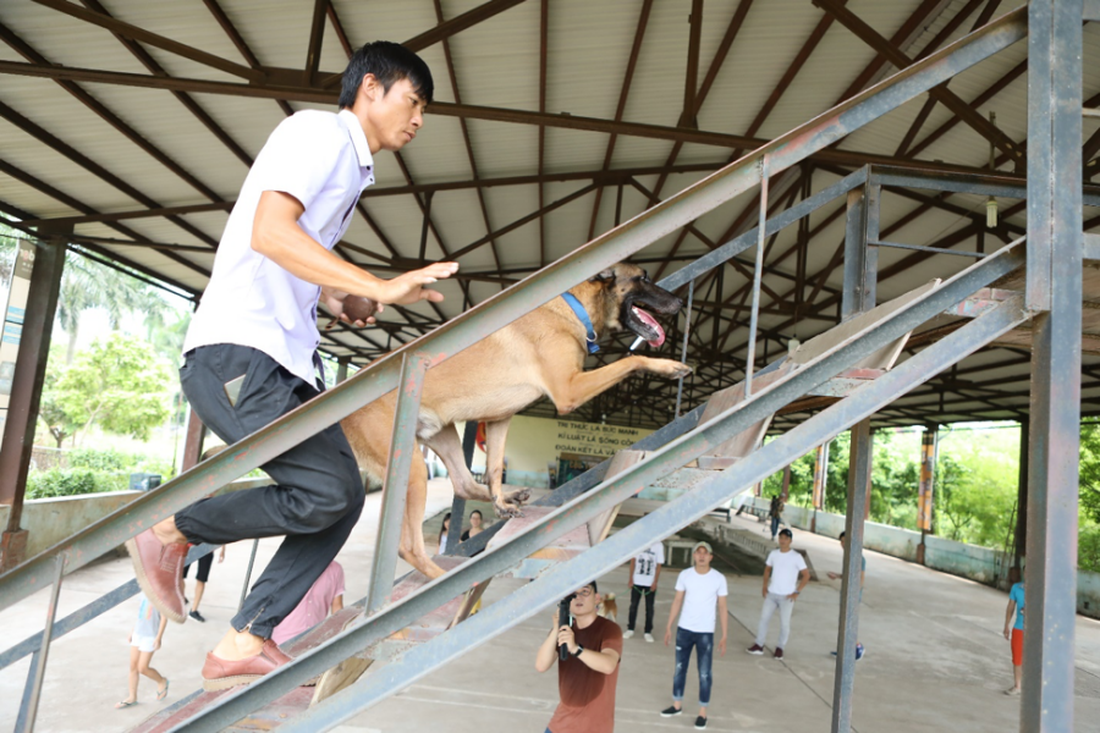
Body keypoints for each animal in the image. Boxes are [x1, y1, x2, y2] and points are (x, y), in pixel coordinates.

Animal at [338, 260, 690, 576]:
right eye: (644, 278)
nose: (681, 302)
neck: (574, 309)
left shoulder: (500, 419)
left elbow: (493, 470)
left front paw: (500, 502)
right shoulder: (569, 390)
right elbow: (629, 361)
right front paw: (668, 366)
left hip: (443, 436)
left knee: (464, 483)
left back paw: (510, 496)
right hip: (410, 468)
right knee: (408, 547)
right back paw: (442, 582)